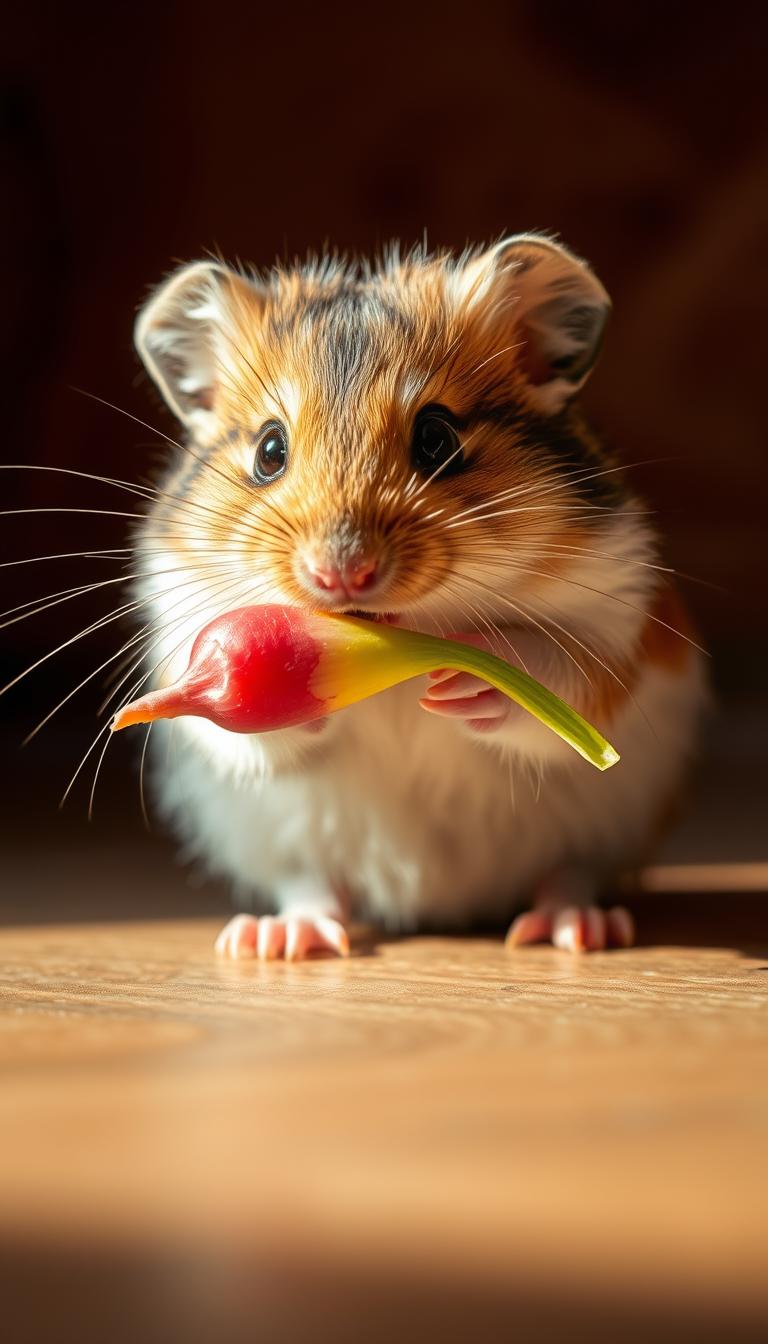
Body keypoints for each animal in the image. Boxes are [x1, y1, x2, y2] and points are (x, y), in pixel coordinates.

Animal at [131, 235, 706, 959]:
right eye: (268, 449)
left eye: (438, 438)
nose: (340, 574)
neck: (400, 631)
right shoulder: (183, 625)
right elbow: (249, 731)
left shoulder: (617, 621)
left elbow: (562, 673)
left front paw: (461, 686)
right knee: (314, 886)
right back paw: (275, 939)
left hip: (608, 825)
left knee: (572, 872)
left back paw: (574, 929)